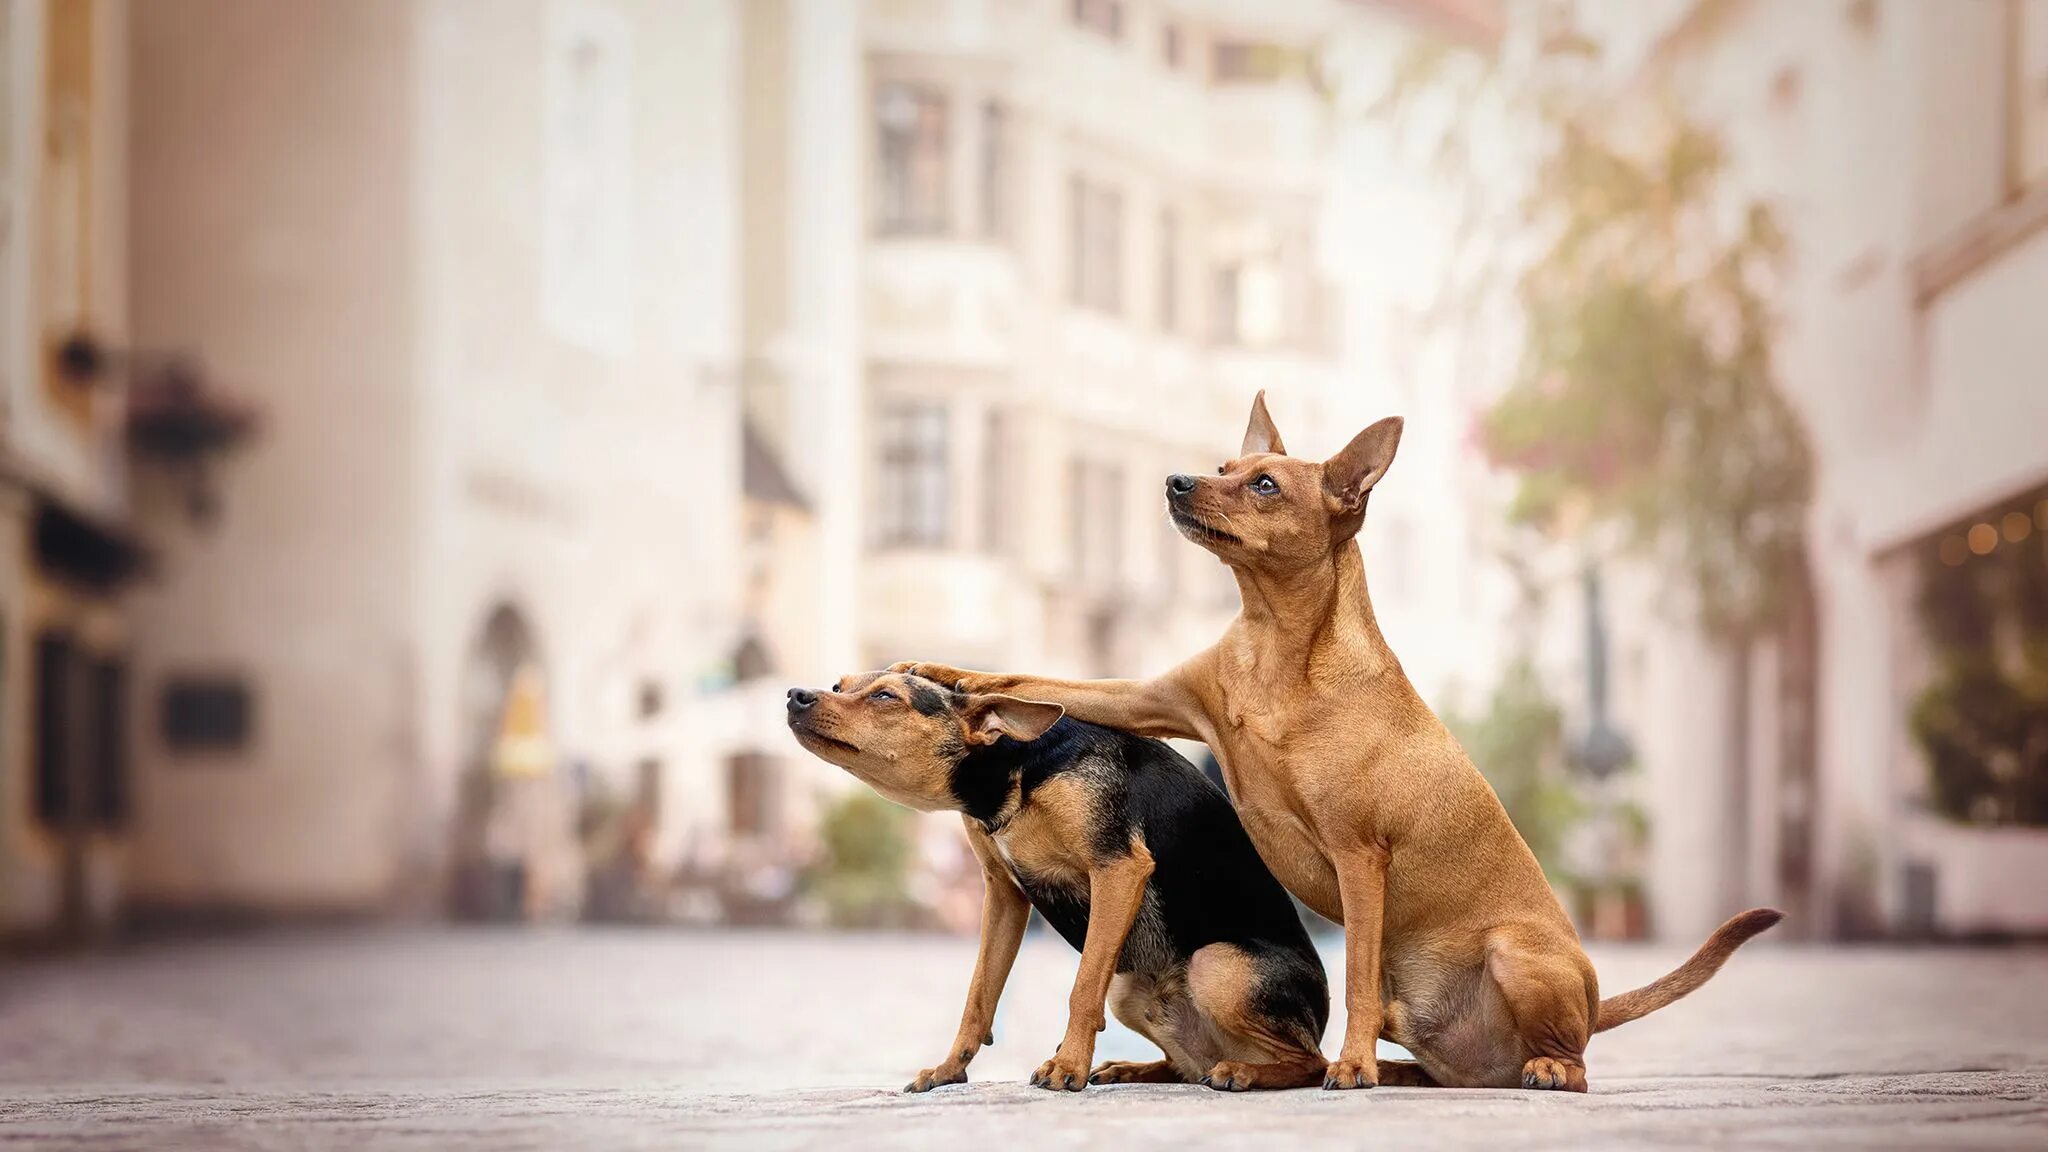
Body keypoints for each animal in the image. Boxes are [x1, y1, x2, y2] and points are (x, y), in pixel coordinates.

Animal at [782, 668, 1327, 1090]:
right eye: (839, 684)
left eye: (886, 697)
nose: (796, 695)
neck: (1014, 769)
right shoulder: (1003, 895)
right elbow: (978, 996)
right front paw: (948, 1070)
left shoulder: (1118, 869)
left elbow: (1082, 986)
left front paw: (1068, 1067)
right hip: (1130, 989)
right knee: (1186, 1066)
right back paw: (1132, 1069)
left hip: (1215, 965)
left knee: (1309, 1062)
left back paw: (1248, 1072)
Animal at [897, 389, 1777, 1090]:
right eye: (1223, 464)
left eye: (1264, 484)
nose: (1176, 481)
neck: (1277, 653)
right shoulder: (1153, 699)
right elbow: (1032, 679)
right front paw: (941, 674)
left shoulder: (1359, 856)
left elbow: (1351, 975)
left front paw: (1349, 1067)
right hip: (1417, 1016)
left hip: (1514, 956)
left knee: (1570, 1059)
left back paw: (1521, 1067)